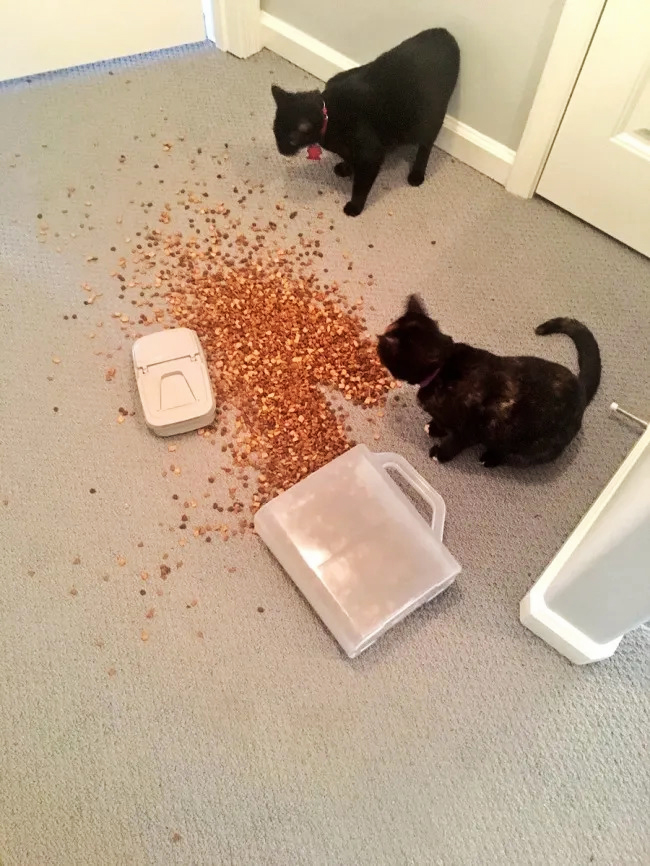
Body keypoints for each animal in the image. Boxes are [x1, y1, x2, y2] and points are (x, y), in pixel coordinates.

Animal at [270, 31, 458, 218]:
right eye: (275, 134)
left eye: (291, 140)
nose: (281, 150)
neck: (330, 116)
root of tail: (444, 33)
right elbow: (348, 158)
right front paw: (346, 169)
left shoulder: (371, 156)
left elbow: (361, 187)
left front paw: (355, 206)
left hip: (426, 122)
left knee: (426, 147)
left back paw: (417, 175)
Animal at [378, 296, 600, 470]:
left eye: (382, 351)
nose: (378, 345)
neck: (443, 368)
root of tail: (580, 390)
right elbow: (440, 422)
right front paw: (434, 428)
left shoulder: (466, 432)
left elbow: (452, 443)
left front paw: (439, 453)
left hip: (529, 448)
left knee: (508, 453)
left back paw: (490, 458)